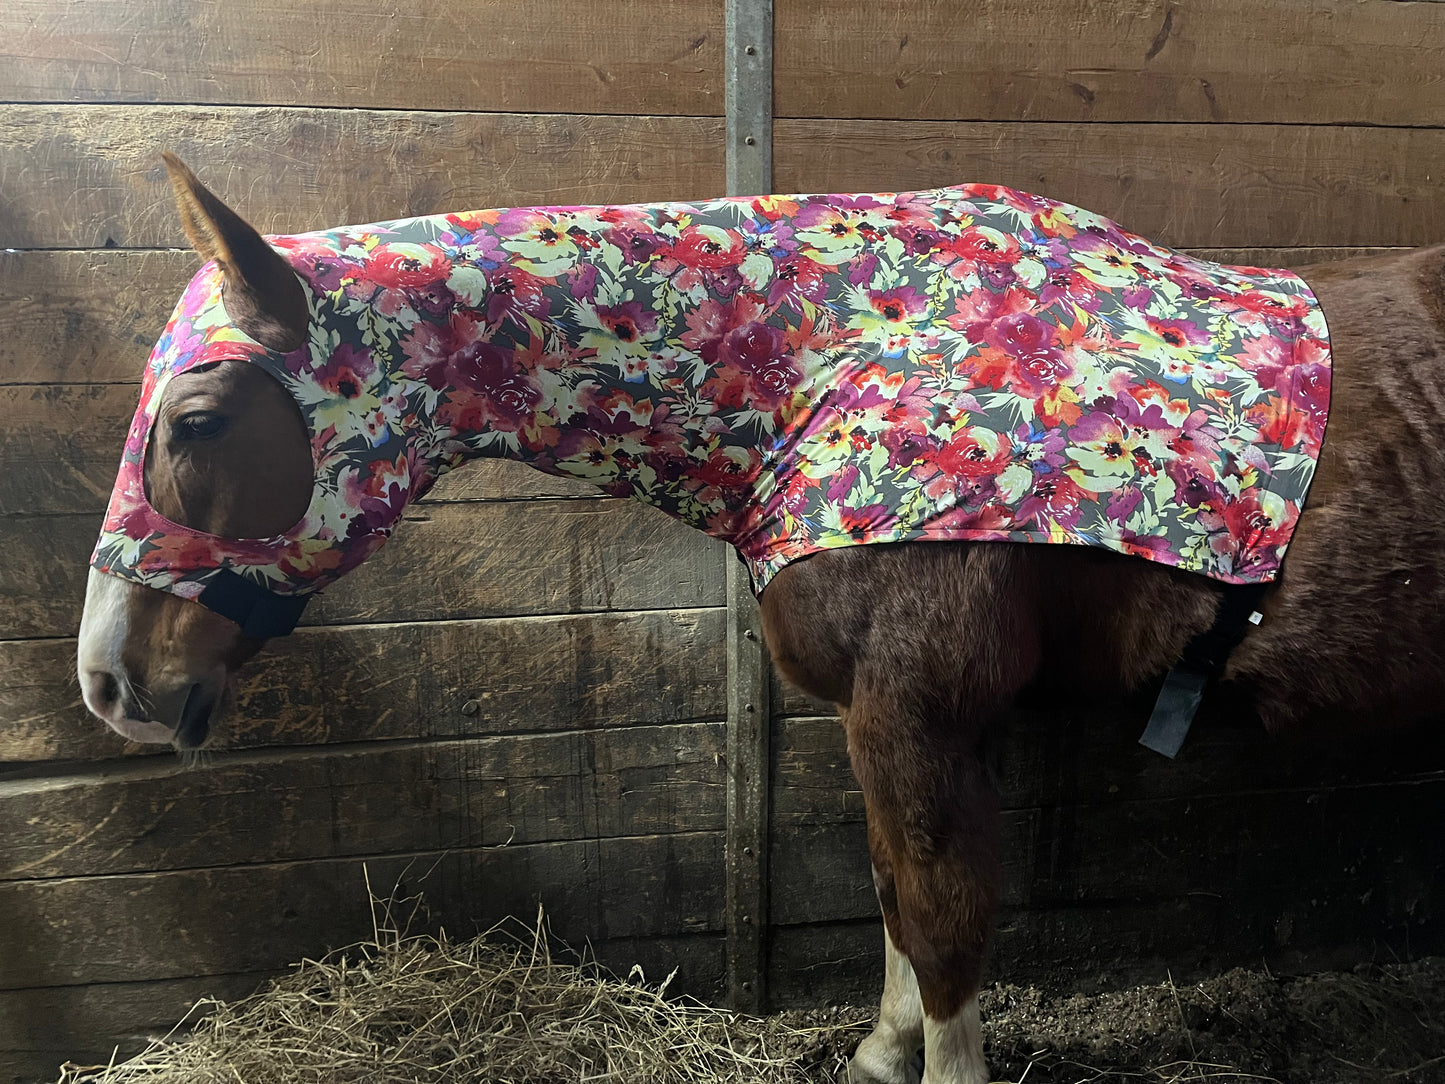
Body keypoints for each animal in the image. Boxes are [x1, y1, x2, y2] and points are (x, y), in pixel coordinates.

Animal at [75, 155, 1445, 1084]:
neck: (838, 358)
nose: (110, 684)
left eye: (195, 422)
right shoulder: (913, 722)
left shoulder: (916, 711)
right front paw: (880, 1051)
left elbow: (940, 917)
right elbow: (895, 896)